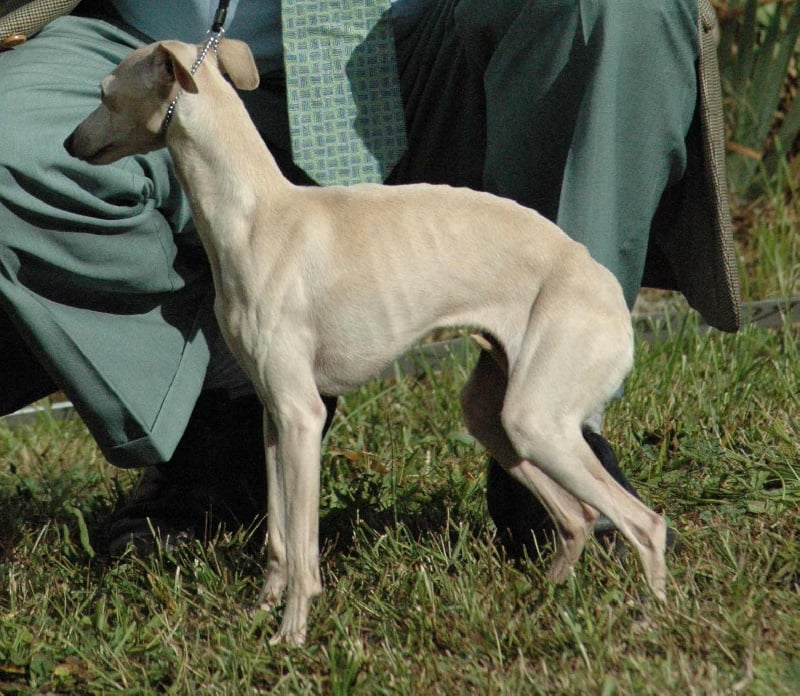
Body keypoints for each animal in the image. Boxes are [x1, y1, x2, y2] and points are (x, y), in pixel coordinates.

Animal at [65, 38, 668, 648]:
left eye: (105, 95)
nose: (70, 144)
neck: (255, 214)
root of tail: (607, 285)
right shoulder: (274, 419)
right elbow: (279, 541)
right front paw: (259, 615)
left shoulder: (303, 416)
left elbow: (303, 549)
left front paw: (291, 635)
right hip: (495, 415)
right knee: (576, 517)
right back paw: (542, 601)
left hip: (537, 419)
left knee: (645, 522)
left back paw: (650, 619)